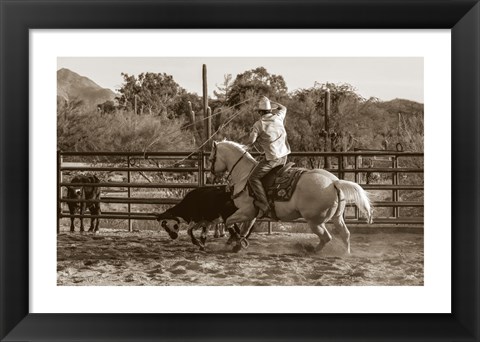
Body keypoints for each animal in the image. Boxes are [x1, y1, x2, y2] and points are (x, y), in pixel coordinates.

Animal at [208, 140, 374, 254]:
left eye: (211, 159)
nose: (210, 176)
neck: (245, 175)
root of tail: (334, 182)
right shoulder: (252, 213)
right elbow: (244, 229)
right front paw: (237, 244)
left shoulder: (246, 211)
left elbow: (229, 221)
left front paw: (233, 240)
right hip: (337, 218)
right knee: (345, 234)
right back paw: (345, 253)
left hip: (315, 222)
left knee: (326, 237)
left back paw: (310, 250)